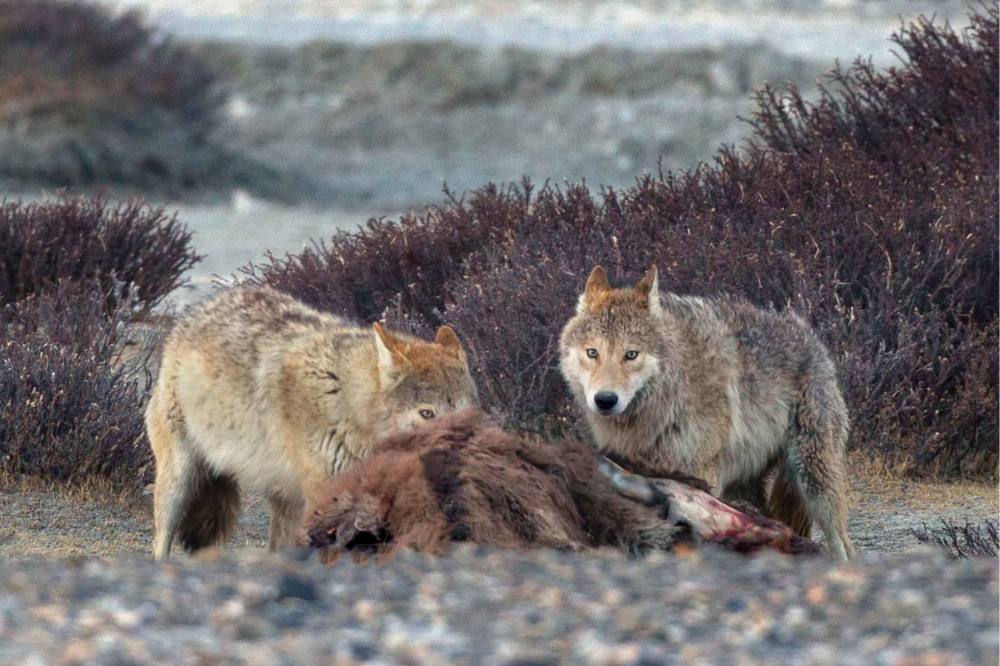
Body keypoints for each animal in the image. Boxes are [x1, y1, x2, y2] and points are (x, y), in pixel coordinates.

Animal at [145, 286, 478, 560]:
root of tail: (191, 314)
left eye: (467, 412)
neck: (346, 399)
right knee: (160, 543)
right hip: (178, 481)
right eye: (427, 414)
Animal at [559, 265, 855, 559]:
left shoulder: (701, 474)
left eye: (631, 354)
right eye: (592, 352)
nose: (605, 400)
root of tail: (813, 338)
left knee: (841, 541)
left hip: (813, 478)